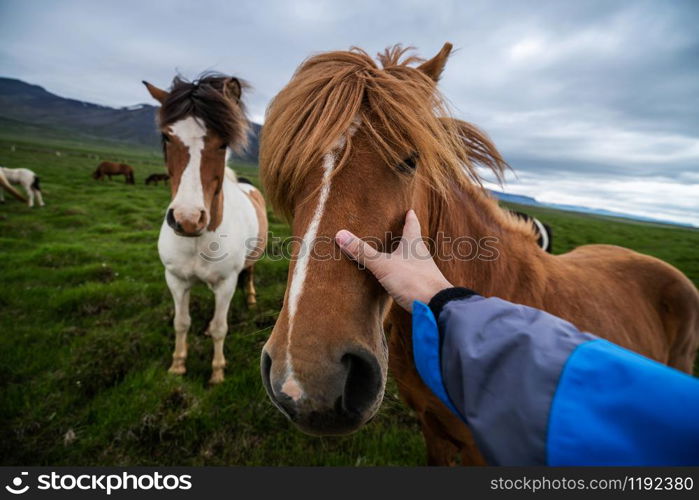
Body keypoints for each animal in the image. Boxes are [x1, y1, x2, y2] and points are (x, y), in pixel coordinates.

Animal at [144, 74, 268, 384]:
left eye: (223, 143)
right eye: (167, 136)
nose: (187, 219)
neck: (198, 240)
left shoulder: (226, 284)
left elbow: (221, 327)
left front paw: (217, 372)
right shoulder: (175, 280)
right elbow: (181, 323)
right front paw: (177, 365)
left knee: (250, 272)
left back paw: (250, 298)